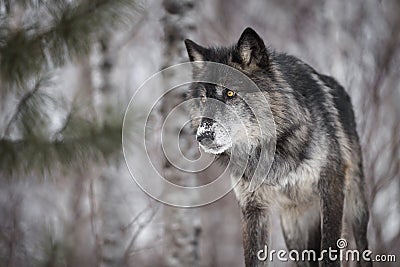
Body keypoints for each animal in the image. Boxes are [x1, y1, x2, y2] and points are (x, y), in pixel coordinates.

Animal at [184, 27, 372, 267]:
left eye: (230, 93)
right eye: (203, 99)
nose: (203, 135)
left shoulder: (332, 185)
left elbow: (330, 251)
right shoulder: (253, 207)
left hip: (356, 210)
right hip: (294, 229)